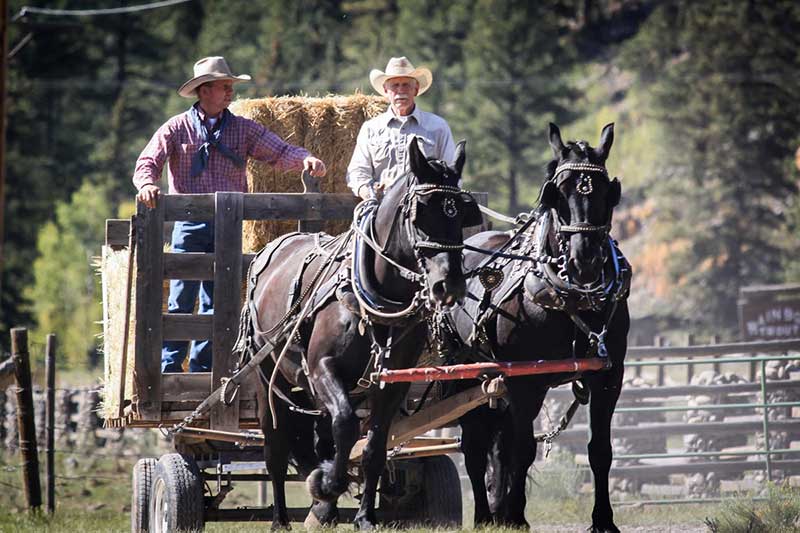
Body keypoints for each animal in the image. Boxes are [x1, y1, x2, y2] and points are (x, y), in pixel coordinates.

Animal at [242, 137, 482, 528]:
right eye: (419, 214)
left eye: (461, 215)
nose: (448, 285)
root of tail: (275, 246)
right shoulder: (322, 368)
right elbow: (345, 425)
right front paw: (327, 484)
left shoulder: (393, 383)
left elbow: (374, 445)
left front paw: (364, 515)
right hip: (268, 378)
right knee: (276, 444)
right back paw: (282, 516)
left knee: (320, 439)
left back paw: (322, 509)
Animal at [450, 122, 632, 528]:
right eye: (557, 192)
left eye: (607, 193)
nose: (583, 260)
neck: (569, 295)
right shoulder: (525, 382)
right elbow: (522, 449)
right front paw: (516, 516)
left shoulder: (608, 376)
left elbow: (600, 450)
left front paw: (603, 519)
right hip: (464, 376)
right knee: (474, 446)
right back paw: (485, 515)